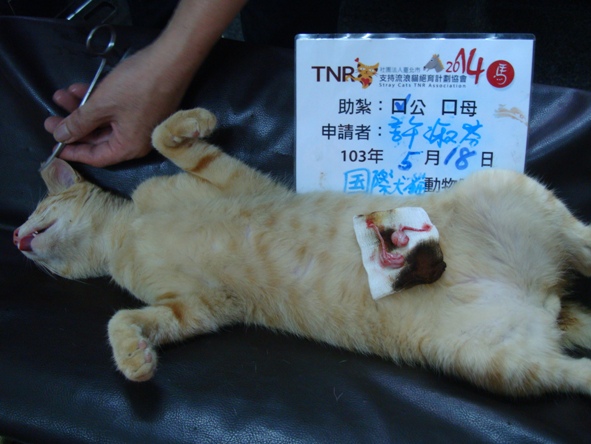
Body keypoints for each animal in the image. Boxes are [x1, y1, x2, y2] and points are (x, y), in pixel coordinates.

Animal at [13, 107, 591, 396]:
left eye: (36, 210)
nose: (16, 238)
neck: (126, 233)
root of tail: (543, 298)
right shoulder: (194, 305)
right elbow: (123, 320)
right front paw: (135, 361)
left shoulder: (233, 182)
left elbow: (163, 137)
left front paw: (197, 118)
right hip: (499, 365)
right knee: (572, 372)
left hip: (510, 189)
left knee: (582, 240)